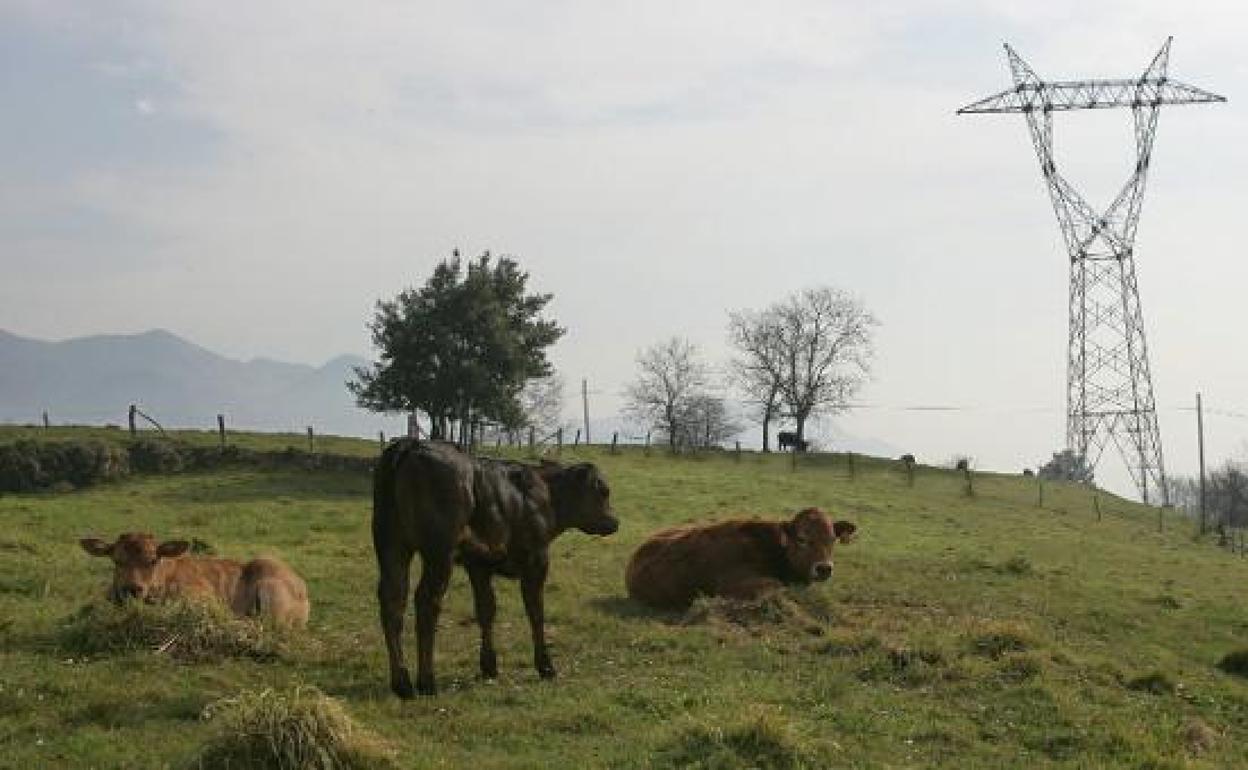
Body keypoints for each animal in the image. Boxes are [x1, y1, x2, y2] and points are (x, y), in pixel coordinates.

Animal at [79, 531, 310, 626]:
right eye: (116, 560)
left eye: (153, 560)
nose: (132, 589)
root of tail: (302, 587)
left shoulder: (203, 596)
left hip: (272, 592)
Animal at [371, 439, 621, 698]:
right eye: (604, 491)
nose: (615, 522)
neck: (545, 494)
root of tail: (411, 444)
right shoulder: (537, 559)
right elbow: (536, 611)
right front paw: (546, 666)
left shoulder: (479, 565)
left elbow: (486, 611)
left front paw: (489, 666)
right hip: (439, 552)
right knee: (426, 601)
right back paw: (427, 682)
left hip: (391, 545)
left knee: (393, 599)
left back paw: (402, 683)